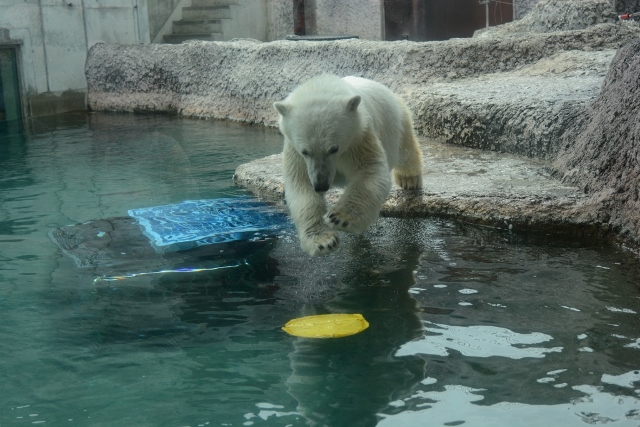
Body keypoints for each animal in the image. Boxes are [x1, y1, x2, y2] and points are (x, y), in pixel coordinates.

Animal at [272, 74, 422, 258]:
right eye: (305, 151)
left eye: (333, 148)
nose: (321, 185)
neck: (324, 86)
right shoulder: (295, 152)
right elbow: (301, 186)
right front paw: (324, 241)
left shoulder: (359, 137)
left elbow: (370, 171)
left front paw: (339, 218)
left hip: (396, 118)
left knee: (406, 146)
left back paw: (409, 179)